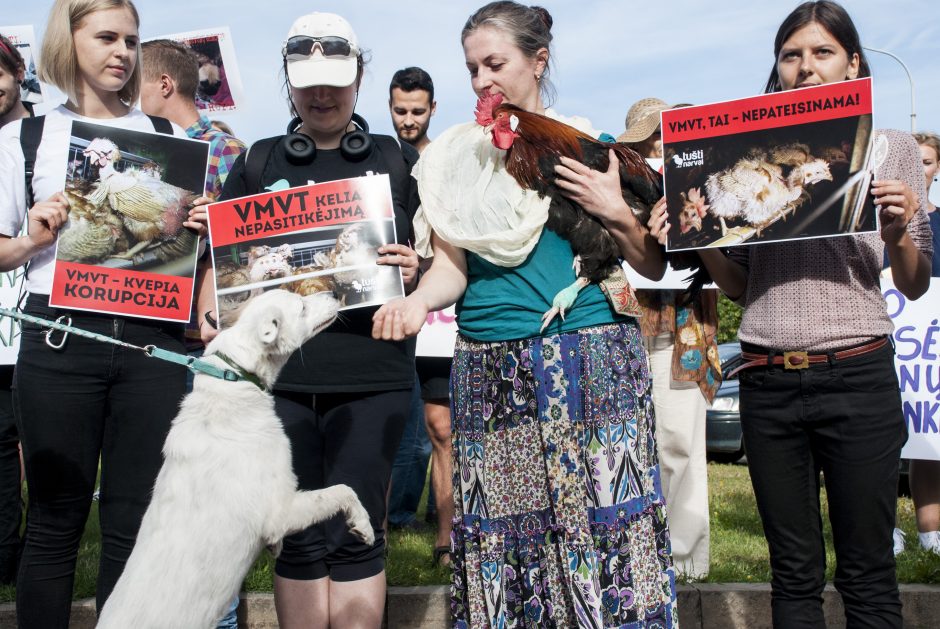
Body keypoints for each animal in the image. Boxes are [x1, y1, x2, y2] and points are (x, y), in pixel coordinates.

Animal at [97, 290, 372, 628]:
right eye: (301, 306)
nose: (334, 293)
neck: (235, 377)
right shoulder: (280, 510)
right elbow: (343, 490)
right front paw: (363, 525)